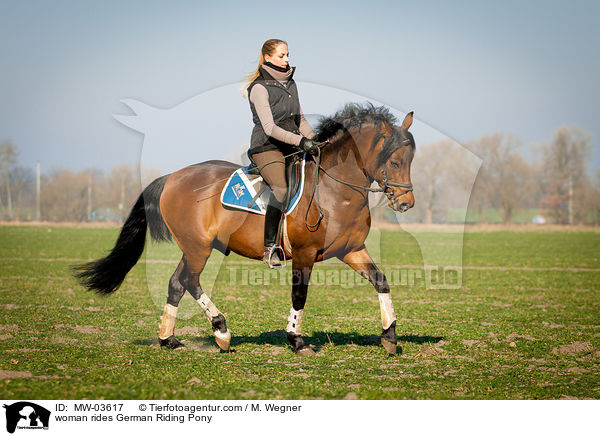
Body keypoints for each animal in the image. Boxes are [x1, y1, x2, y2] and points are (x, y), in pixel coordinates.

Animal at [75, 104, 414, 356]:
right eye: (395, 161)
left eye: (410, 160)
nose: (406, 203)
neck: (332, 190)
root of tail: (172, 177)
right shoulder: (304, 255)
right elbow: (299, 295)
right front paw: (296, 340)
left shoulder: (351, 250)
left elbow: (381, 282)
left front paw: (389, 335)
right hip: (198, 247)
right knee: (190, 281)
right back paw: (221, 331)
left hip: (194, 247)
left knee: (176, 284)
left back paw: (168, 339)